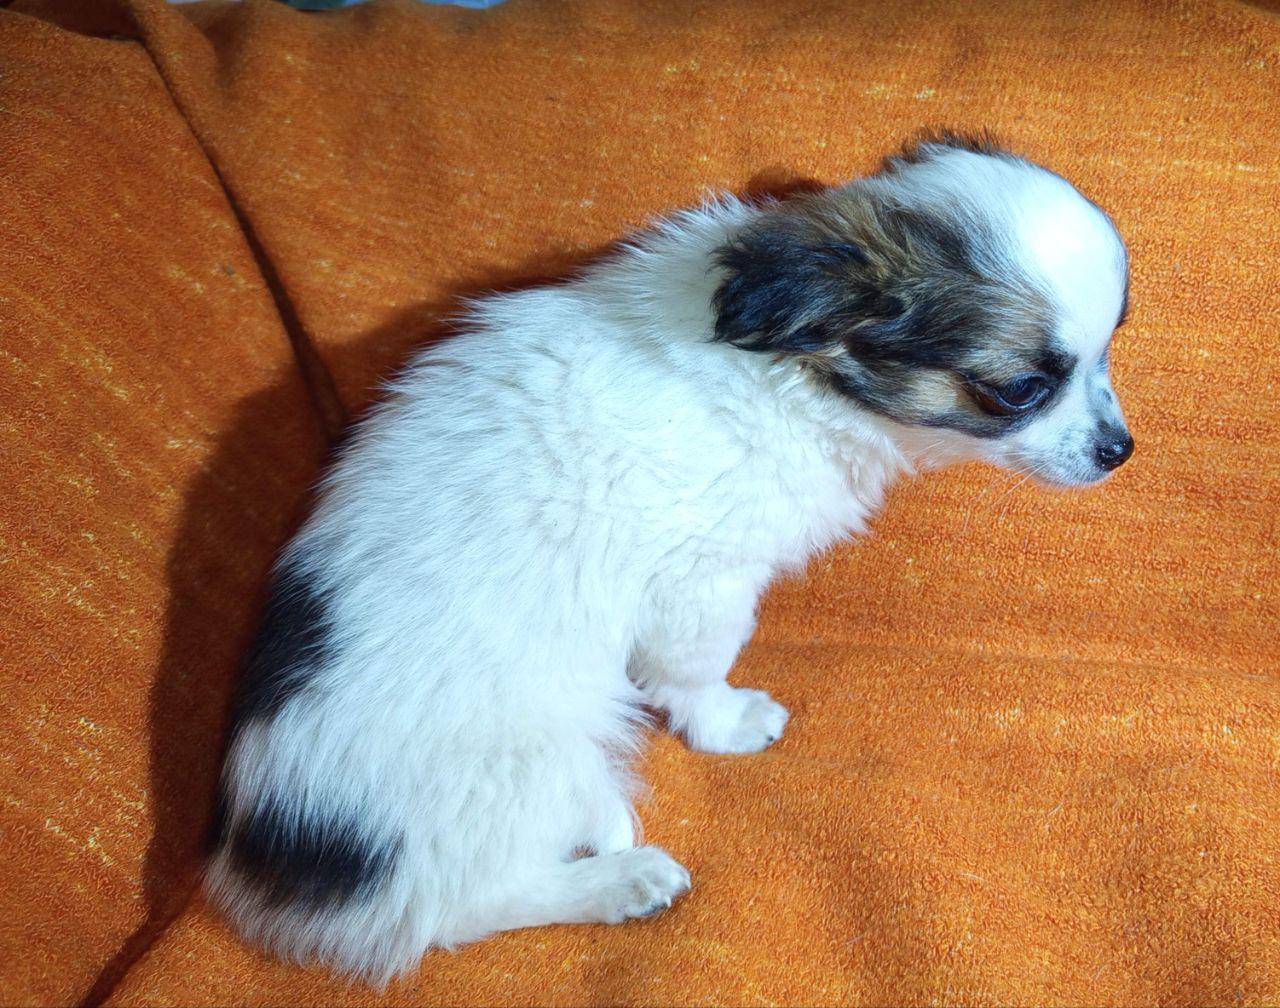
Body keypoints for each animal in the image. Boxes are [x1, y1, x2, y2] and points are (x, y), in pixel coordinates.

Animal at [207, 132, 1133, 982]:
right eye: (1018, 389)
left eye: (1108, 352)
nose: (1120, 450)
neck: (794, 371)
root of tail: (258, 865)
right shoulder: (701, 580)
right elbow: (695, 669)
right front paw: (725, 722)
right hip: (527, 760)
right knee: (457, 906)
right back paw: (620, 880)